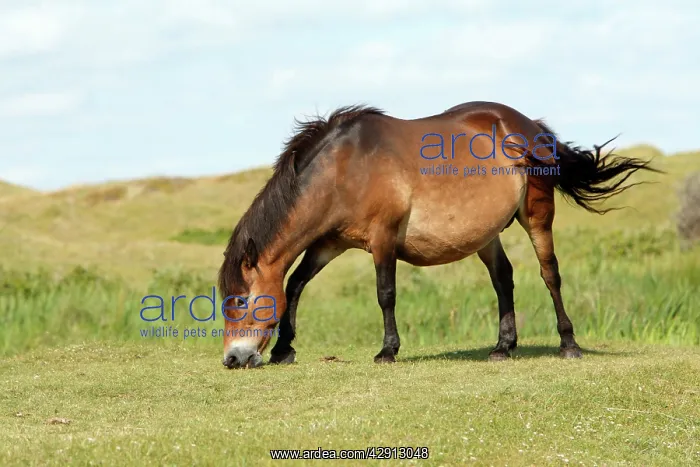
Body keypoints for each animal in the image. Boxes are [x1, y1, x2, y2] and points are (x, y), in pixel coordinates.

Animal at [218, 101, 657, 369]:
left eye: (240, 300)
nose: (232, 359)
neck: (345, 167)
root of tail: (529, 126)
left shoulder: (383, 238)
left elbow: (385, 294)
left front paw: (388, 350)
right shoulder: (329, 243)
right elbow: (294, 285)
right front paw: (284, 349)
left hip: (536, 216)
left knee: (550, 274)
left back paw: (569, 344)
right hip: (487, 233)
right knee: (504, 279)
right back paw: (503, 347)